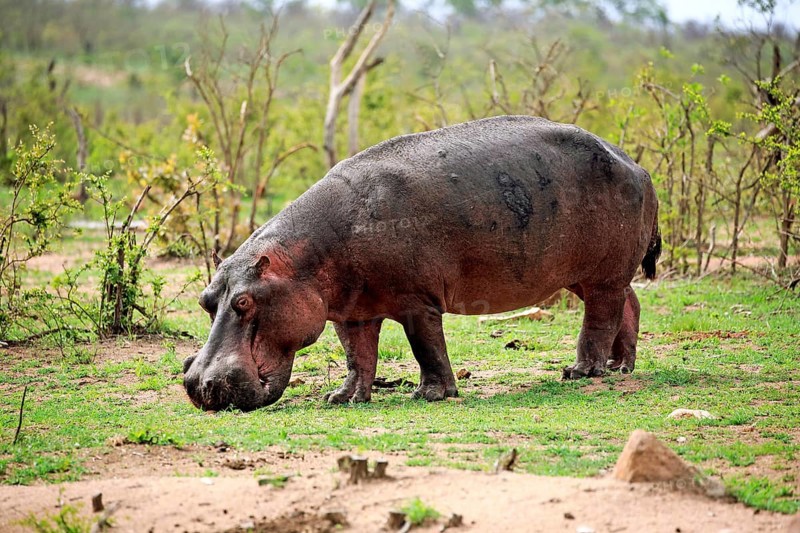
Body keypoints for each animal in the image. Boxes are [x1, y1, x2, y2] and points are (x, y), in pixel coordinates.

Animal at [183, 115, 661, 411]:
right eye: (206, 300)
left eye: (244, 302)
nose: (199, 386)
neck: (304, 260)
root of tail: (638, 165)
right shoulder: (351, 311)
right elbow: (357, 355)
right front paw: (343, 398)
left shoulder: (417, 302)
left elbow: (425, 346)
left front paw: (431, 395)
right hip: (583, 274)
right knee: (630, 304)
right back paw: (620, 367)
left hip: (599, 274)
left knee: (600, 317)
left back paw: (581, 372)